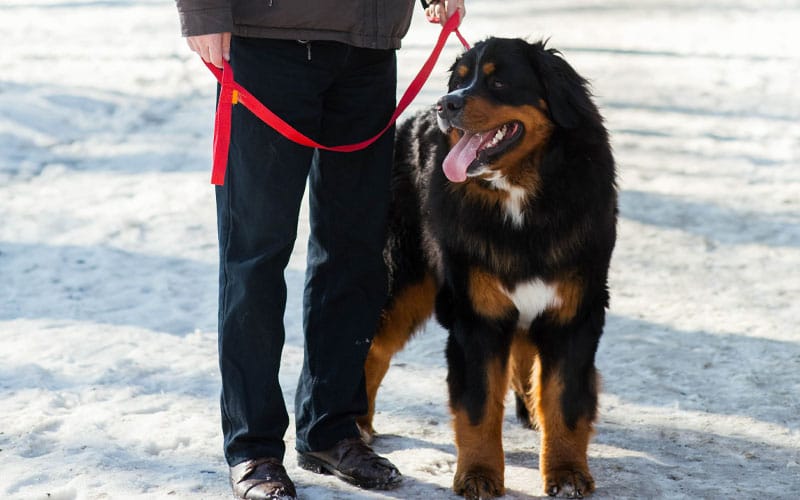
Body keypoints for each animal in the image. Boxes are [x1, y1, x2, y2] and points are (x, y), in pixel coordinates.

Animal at [358, 37, 620, 498]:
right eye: (459, 81)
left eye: (498, 81)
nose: (446, 104)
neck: (521, 196)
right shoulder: (476, 315)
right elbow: (479, 407)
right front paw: (478, 474)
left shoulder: (572, 312)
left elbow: (565, 403)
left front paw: (567, 472)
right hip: (401, 281)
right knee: (373, 350)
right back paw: (357, 427)